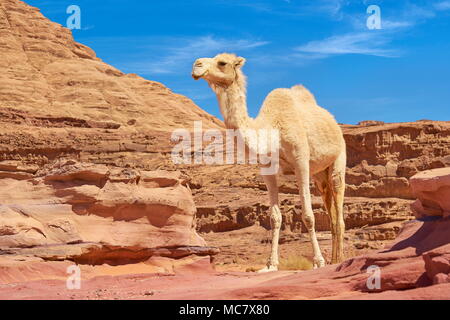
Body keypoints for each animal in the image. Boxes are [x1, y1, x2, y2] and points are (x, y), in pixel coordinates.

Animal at [192, 52, 346, 270]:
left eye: (222, 62)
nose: (196, 65)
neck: (272, 128)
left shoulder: (301, 162)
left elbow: (308, 215)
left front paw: (318, 261)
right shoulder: (267, 169)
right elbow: (274, 217)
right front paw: (271, 264)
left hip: (338, 158)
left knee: (338, 207)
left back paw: (337, 259)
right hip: (319, 175)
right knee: (330, 208)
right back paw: (335, 259)